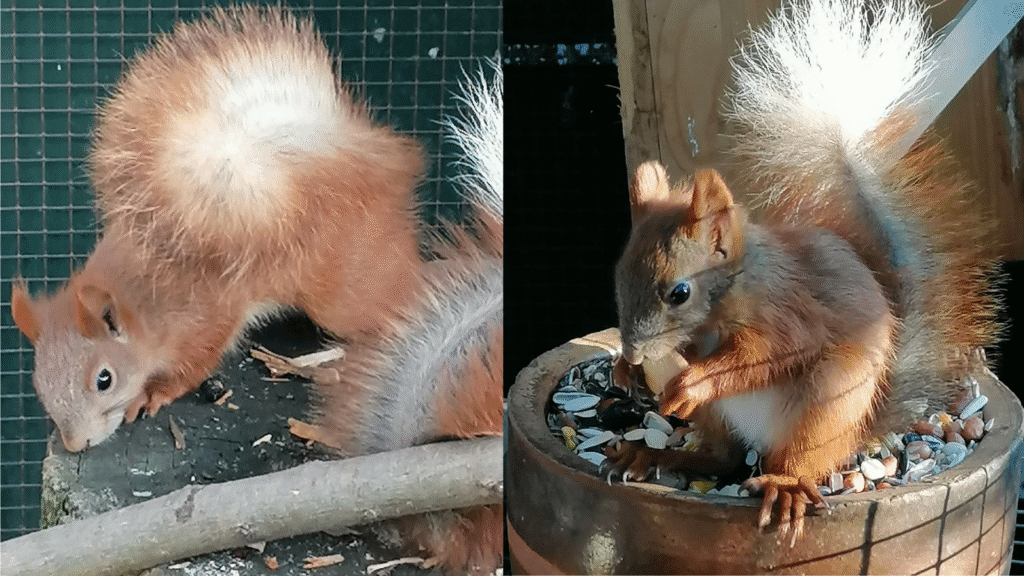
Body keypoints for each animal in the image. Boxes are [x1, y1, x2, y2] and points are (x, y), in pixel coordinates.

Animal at [10, 5, 502, 574]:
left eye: (104, 380)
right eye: (39, 381)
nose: (74, 444)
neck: (142, 299)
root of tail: (378, 161)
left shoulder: (207, 316)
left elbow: (195, 362)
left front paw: (155, 395)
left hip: (347, 290)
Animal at [606, 0, 1002, 542]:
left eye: (680, 293)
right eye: (619, 276)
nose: (633, 351)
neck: (734, 292)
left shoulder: (787, 313)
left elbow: (763, 356)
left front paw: (691, 382)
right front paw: (625, 371)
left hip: (825, 408)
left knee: (795, 460)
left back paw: (786, 487)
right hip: (723, 420)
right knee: (723, 460)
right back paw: (652, 456)